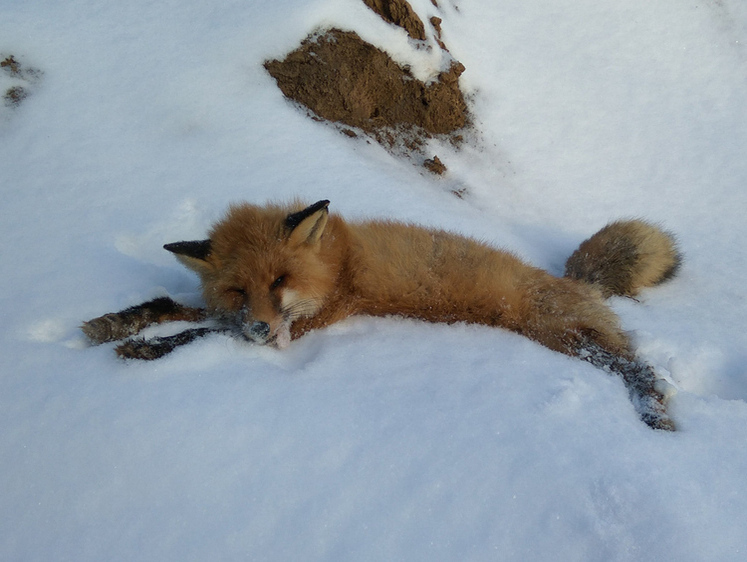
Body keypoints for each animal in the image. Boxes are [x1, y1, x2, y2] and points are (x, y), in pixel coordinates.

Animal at [83, 200, 684, 428]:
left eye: (279, 281)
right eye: (237, 289)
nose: (258, 327)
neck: (338, 266)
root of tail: (572, 278)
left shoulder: (303, 325)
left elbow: (196, 337)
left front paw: (142, 349)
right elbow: (169, 307)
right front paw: (113, 323)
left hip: (568, 338)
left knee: (640, 368)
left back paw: (656, 413)